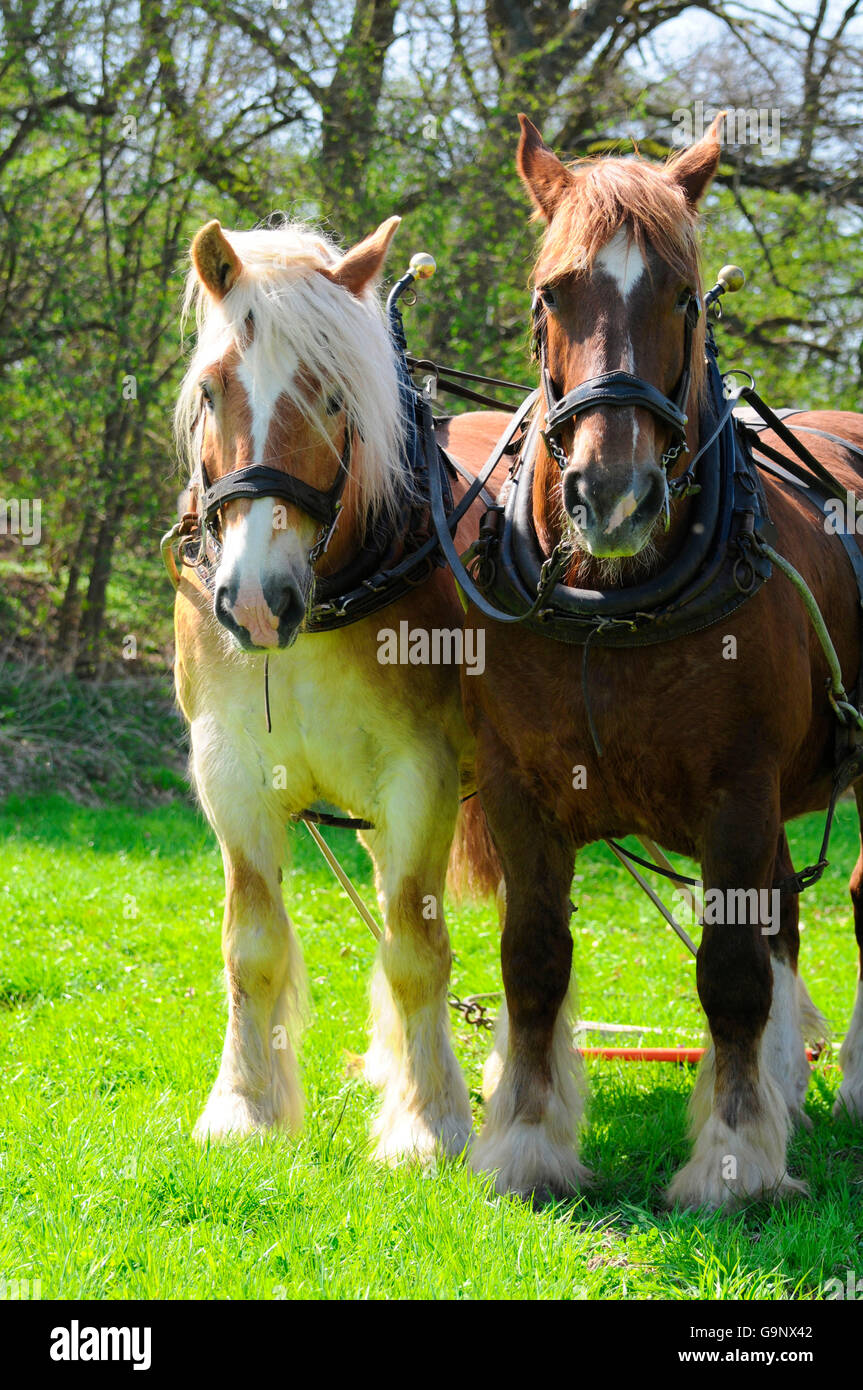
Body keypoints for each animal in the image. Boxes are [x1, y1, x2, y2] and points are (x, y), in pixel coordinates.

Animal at [171, 215, 504, 1161]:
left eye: (330, 398)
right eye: (211, 391)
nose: (255, 599)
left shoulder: (421, 776)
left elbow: (417, 947)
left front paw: (429, 1126)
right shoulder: (231, 773)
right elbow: (251, 945)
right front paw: (244, 1107)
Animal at [460, 113, 863, 1209]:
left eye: (683, 296)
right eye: (551, 292)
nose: (616, 494)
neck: (614, 607)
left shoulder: (737, 788)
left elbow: (727, 972)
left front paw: (732, 1159)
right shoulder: (518, 790)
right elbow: (532, 959)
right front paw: (527, 1145)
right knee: (784, 908)